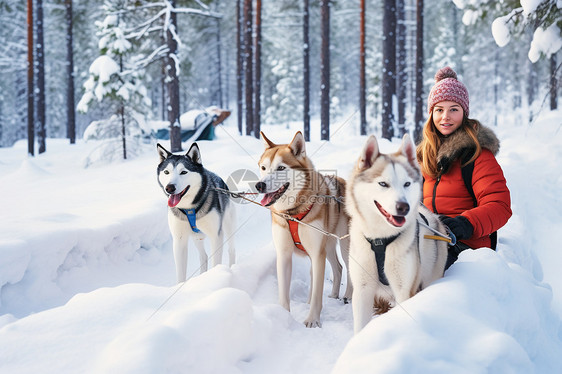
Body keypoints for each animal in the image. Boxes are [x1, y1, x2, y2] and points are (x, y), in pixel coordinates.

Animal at [156, 142, 235, 282]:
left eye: (183, 172)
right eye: (166, 172)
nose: (169, 188)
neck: (190, 209)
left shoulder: (216, 236)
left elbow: (216, 262)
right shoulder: (179, 240)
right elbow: (181, 273)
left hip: (228, 227)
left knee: (231, 250)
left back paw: (233, 268)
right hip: (196, 237)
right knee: (203, 256)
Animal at [255, 131, 350, 328]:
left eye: (281, 168)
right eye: (263, 167)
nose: (259, 185)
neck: (292, 213)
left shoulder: (317, 254)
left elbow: (317, 294)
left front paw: (312, 320)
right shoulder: (284, 254)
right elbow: (284, 293)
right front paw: (283, 317)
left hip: (345, 246)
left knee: (349, 270)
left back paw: (348, 296)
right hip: (327, 246)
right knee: (337, 268)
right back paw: (333, 295)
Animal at [346, 134, 446, 334]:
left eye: (407, 184)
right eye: (383, 184)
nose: (403, 207)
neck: (380, 240)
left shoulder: (403, 289)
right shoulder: (362, 290)